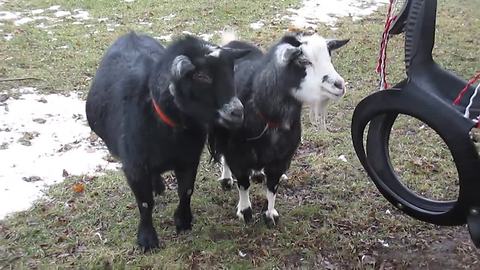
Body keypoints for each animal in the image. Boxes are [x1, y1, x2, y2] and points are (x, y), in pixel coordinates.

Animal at [86, 32, 249, 251]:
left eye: (230, 71)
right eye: (201, 76)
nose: (237, 112)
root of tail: (130, 34)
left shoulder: (189, 159)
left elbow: (186, 191)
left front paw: (183, 221)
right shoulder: (134, 166)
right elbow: (145, 203)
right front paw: (147, 239)